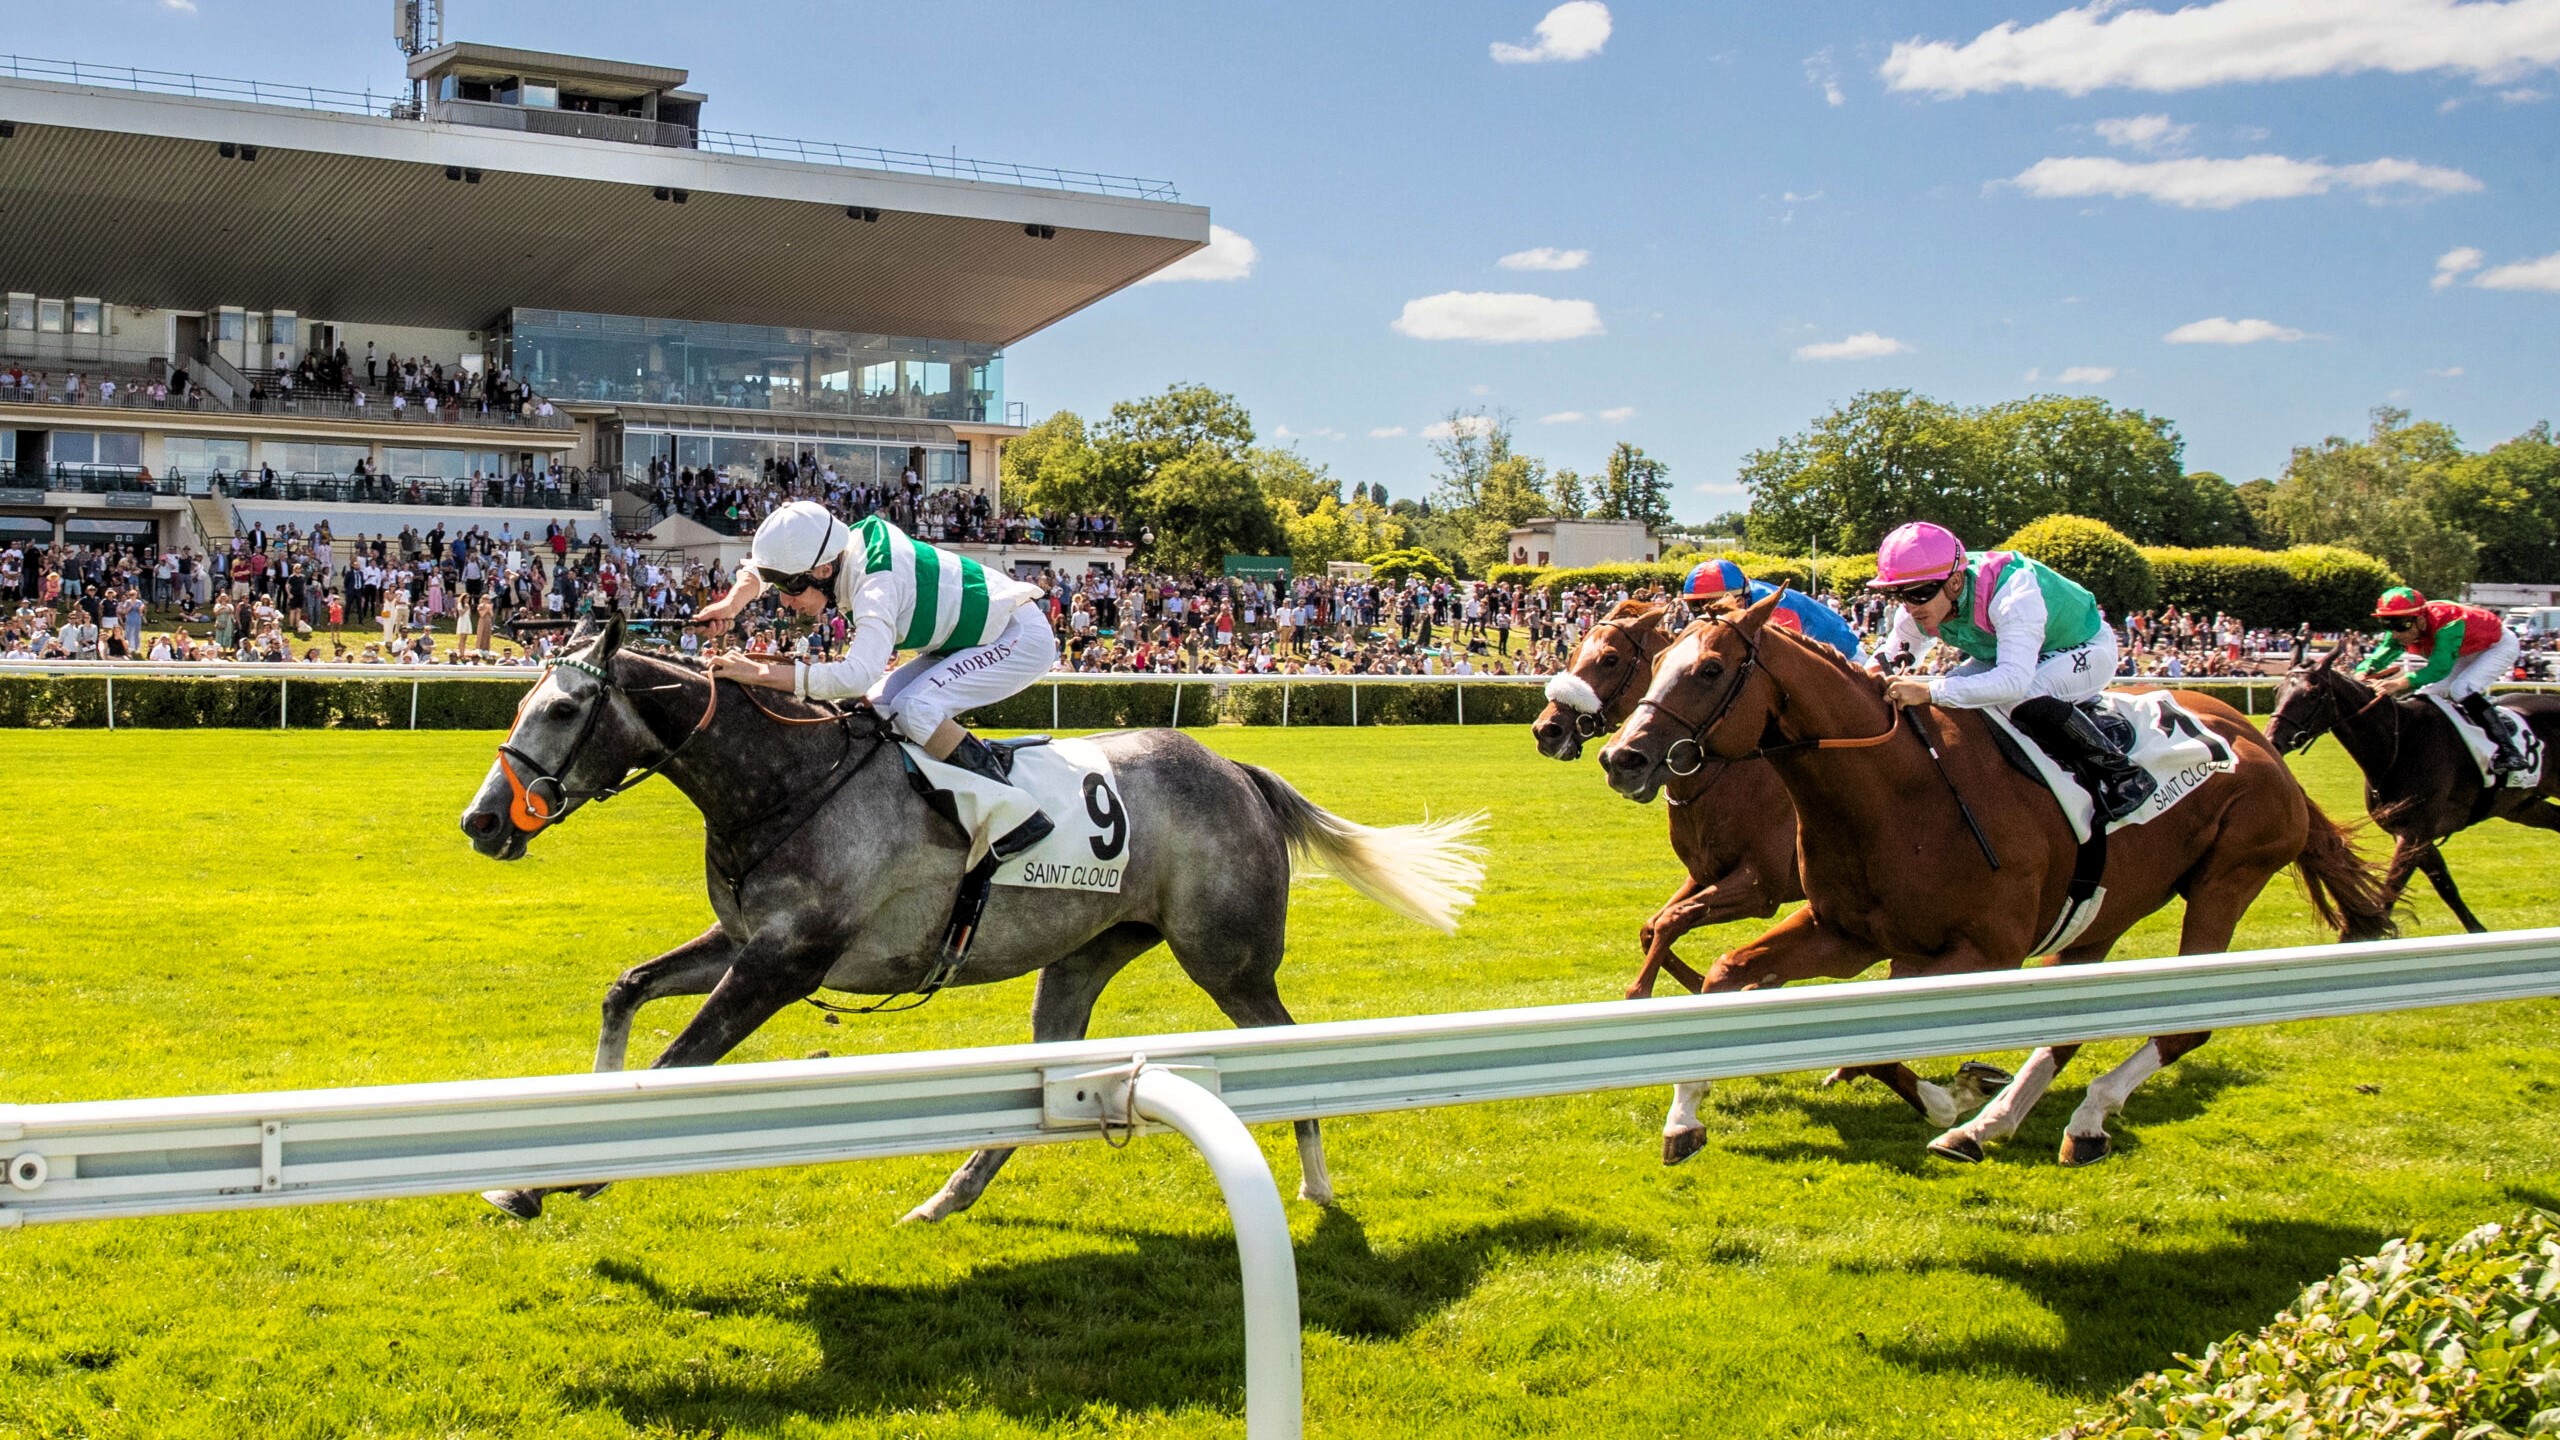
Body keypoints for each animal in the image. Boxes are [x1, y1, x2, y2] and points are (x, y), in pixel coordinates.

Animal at [450, 617, 1474, 1219]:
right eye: (522, 697)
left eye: (565, 708)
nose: (482, 821)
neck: (786, 784)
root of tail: (1236, 770)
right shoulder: (746, 944)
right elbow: (625, 993)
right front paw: (549, 1164)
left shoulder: (785, 964)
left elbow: (674, 1066)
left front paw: (559, 1177)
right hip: (1085, 956)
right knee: (1050, 1074)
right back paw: (946, 1197)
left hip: (1228, 960)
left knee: (1288, 1047)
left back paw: (1317, 1182)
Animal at [1525, 594, 2007, 1122]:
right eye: (1574, 652)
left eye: (1609, 659)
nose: (1547, 729)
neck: (1725, 776)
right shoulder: (1706, 873)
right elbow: (1654, 927)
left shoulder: (1761, 887)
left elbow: (1672, 923)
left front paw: (1655, 996)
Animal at [1587, 594, 2385, 1168]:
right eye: (1658, 663)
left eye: (1708, 670)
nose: (1621, 758)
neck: (1894, 790)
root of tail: (2262, 746)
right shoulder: (1843, 929)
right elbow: (1724, 968)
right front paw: (1684, 1114)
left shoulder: (1981, 948)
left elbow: (1873, 1037)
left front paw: (1942, 1098)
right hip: (2103, 910)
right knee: (2069, 1023)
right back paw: (1995, 1123)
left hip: (2229, 877)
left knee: (2184, 1022)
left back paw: (2068, 1113)